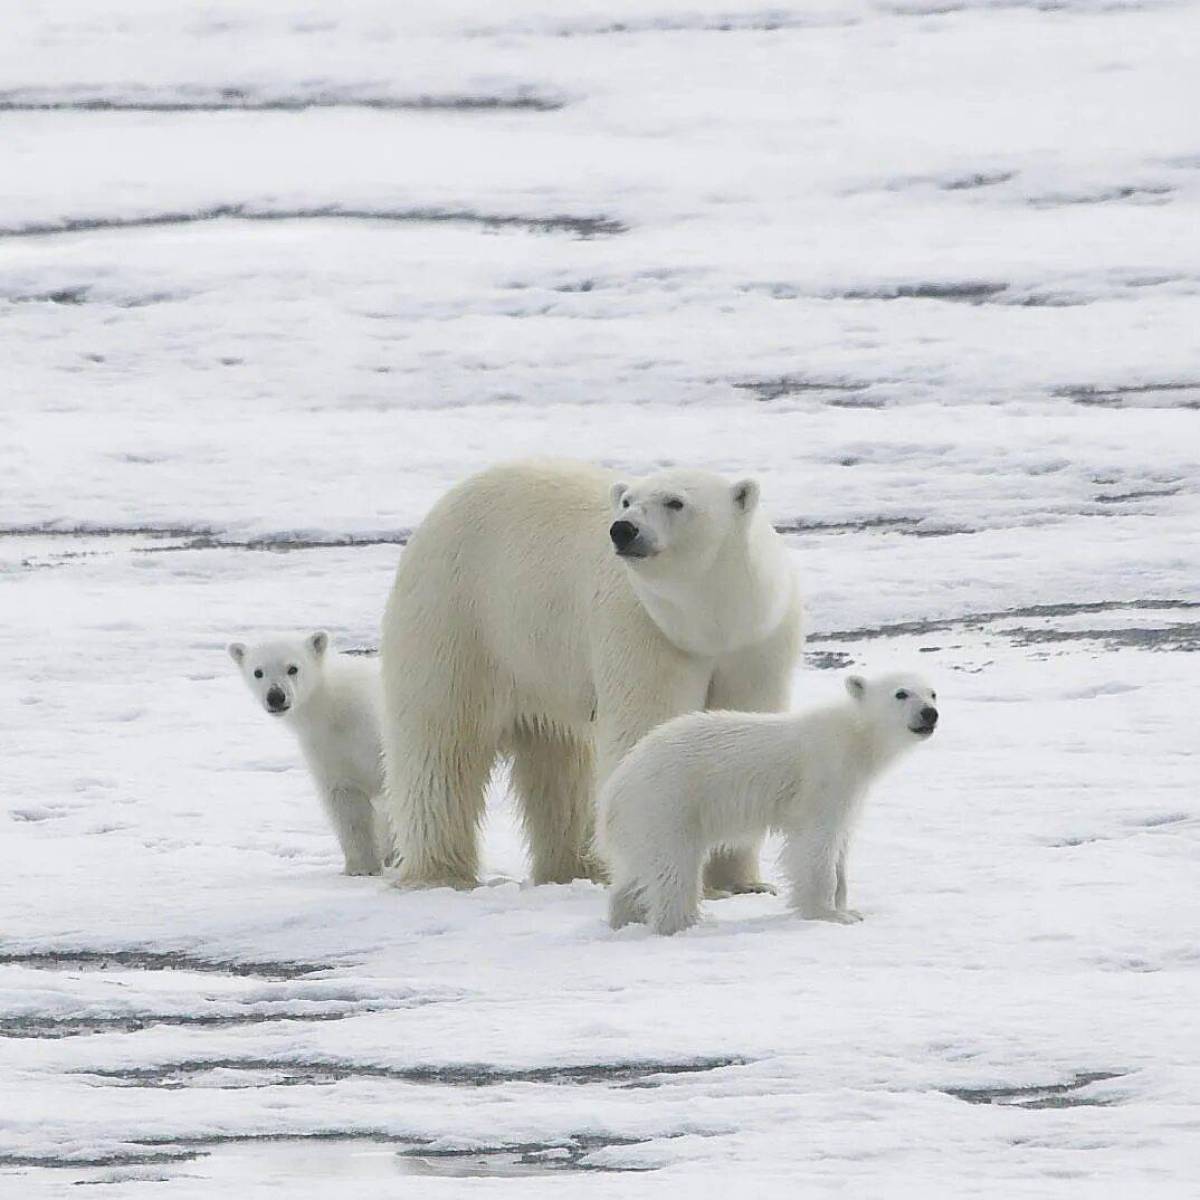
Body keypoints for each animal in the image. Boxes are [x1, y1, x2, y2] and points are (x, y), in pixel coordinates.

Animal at [226, 633, 391, 878]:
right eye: (258, 672)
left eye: (293, 668)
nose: (276, 696)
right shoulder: (327, 751)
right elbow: (347, 805)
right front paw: (361, 868)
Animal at [379, 458, 801, 892]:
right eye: (628, 500)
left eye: (675, 501)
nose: (623, 529)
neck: (712, 622)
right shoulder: (643, 629)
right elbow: (647, 727)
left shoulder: (759, 642)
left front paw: (742, 883)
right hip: (460, 618)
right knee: (442, 744)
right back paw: (439, 873)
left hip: (541, 662)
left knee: (563, 764)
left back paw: (576, 868)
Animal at [600, 672, 936, 931]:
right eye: (901, 693)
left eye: (932, 692)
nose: (929, 713)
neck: (855, 738)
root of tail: (616, 784)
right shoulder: (823, 779)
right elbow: (816, 845)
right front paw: (830, 915)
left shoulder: (852, 790)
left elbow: (841, 843)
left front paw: (848, 908)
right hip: (668, 802)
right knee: (674, 868)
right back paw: (683, 923)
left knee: (634, 872)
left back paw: (625, 919)